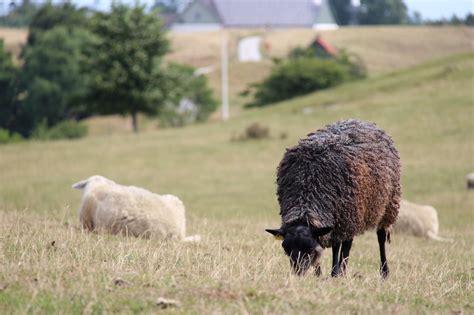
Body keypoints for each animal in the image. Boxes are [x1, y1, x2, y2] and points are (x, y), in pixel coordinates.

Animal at [266, 119, 400, 278]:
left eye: (309, 249)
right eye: (286, 249)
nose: (298, 274)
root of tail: (362, 121)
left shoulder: (347, 219)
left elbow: (343, 248)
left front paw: (337, 273)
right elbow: (330, 247)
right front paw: (319, 274)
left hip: (387, 206)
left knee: (380, 237)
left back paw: (384, 272)